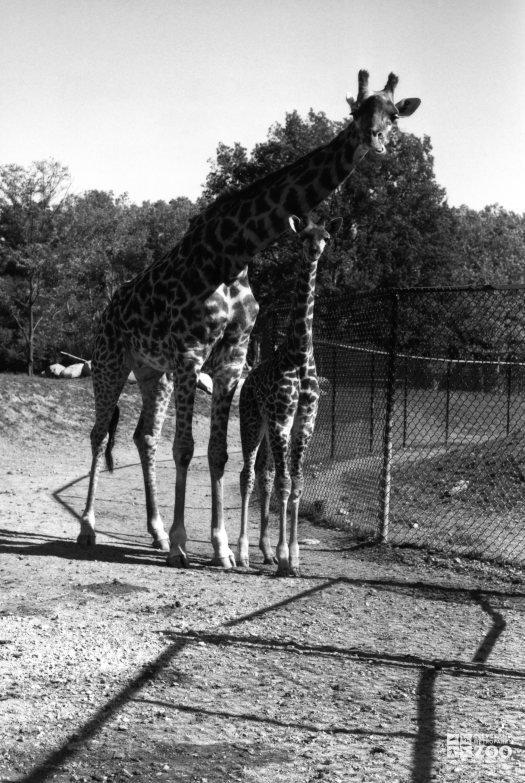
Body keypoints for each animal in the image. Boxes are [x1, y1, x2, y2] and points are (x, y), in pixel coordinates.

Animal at [236, 214, 340, 576]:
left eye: (327, 237)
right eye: (303, 236)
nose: (314, 250)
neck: (298, 353)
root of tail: (248, 379)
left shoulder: (304, 423)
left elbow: (296, 484)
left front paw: (293, 557)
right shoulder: (282, 421)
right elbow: (284, 484)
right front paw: (284, 558)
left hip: (269, 430)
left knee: (264, 476)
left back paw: (264, 552)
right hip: (253, 421)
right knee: (247, 475)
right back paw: (242, 553)